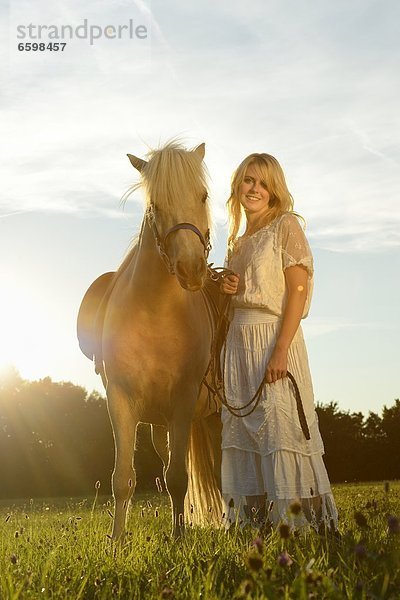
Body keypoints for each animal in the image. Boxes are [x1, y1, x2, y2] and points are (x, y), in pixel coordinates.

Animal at [76, 141, 223, 540]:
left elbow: (177, 479)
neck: (156, 312)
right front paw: (116, 543)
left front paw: (179, 539)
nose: (191, 269)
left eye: (203, 196)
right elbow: (123, 479)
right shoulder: (121, 401)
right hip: (164, 424)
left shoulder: (184, 402)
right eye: (155, 204)